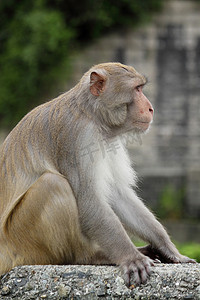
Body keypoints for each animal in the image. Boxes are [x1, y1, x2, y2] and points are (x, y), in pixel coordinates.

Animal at [0, 62, 195, 286]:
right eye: (137, 89)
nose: (150, 108)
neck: (92, 115)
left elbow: (118, 195)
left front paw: (168, 249)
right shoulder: (77, 136)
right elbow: (90, 201)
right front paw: (132, 258)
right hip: (23, 240)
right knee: (53, 183)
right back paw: (90, 256)